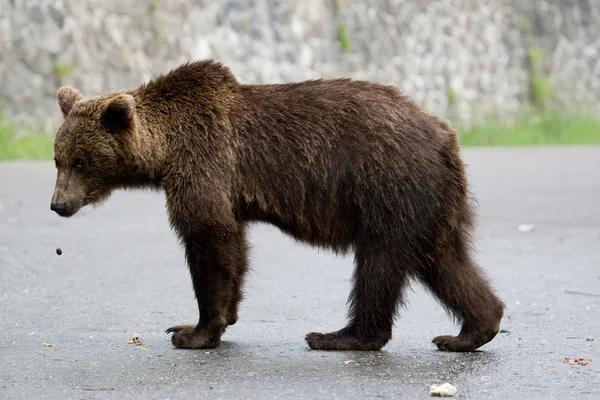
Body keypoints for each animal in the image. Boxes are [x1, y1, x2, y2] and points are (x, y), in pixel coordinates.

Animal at [50, 57, 502, 352]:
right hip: (429, 203)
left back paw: (339, 336)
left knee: (380, 263)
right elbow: (234, 246)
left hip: (390, 185)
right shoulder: (228, 190)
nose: (57, 204)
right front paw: (220, 316)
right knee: (446, 263)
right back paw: (469, 331)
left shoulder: (204, 162)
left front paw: (194, 331)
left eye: (81, 160)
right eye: (58, 158)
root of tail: (445, 136)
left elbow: (207, 236)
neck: (165, 152)